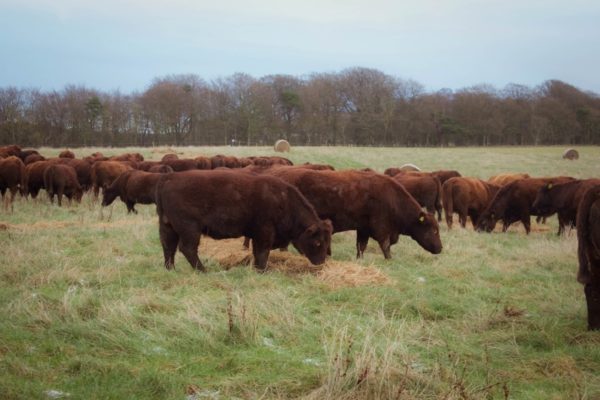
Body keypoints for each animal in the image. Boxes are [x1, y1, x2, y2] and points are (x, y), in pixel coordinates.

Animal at [155, 170, 332, 270]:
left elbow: (257, 253)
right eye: (317, 242)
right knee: (187, 248)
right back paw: (203, 270)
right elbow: (262, 252)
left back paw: (170, 269)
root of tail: (169, 178)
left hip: (167, 226)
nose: (321, 262)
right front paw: (262, 270)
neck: (284, 200)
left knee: (168, 247)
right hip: (190, 229)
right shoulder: (264, 233)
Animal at [270, 167, 442, 258]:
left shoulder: (363, 229)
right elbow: (385, 246)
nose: (440, 248)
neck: (392, 197)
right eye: (434, 230)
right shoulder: (381, 229)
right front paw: (390, 260)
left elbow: (361, 247)